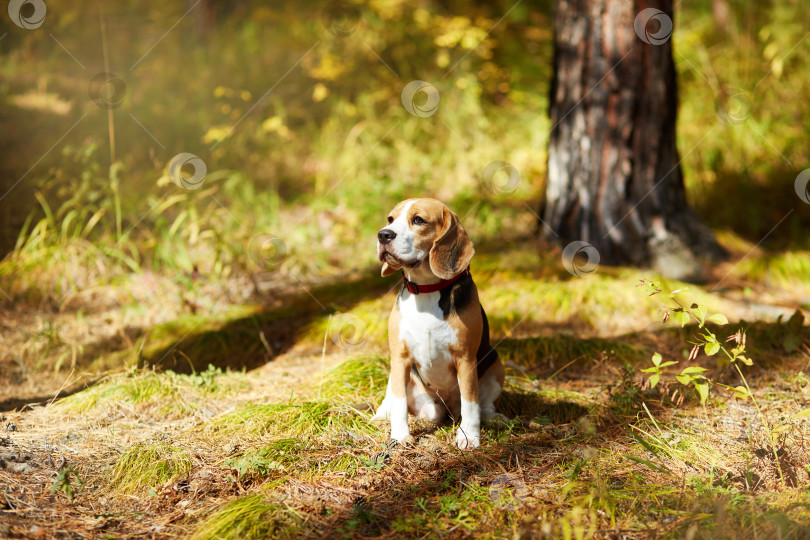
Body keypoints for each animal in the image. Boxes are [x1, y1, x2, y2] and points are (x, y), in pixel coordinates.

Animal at [370, 200, 498, 450]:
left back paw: (491, 415)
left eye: (418, 220)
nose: (383, 234)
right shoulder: (400, 357)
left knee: (483, 402)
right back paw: (382, 413)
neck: (426, 290)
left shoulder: (466, 359)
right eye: (390, 219)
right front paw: (399, 436)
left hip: (496, 361)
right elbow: (399, 401)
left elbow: (471, 402)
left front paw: (469, 437)